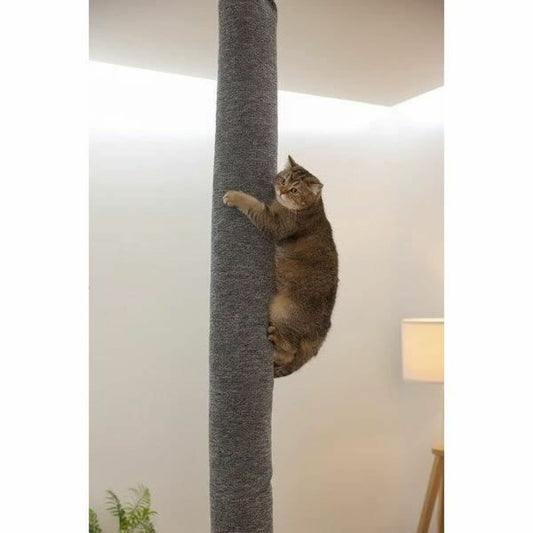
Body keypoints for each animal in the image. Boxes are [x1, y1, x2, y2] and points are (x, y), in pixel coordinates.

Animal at [223, 156, 338, 378]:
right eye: (283, 180)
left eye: (295, 190)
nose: (282, 191)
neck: (313, 208)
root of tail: (321, 335)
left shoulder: (273, 223)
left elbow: (254, 204)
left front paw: (234, 195)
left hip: (281, 311)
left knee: (289, 352)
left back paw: (275, 343)